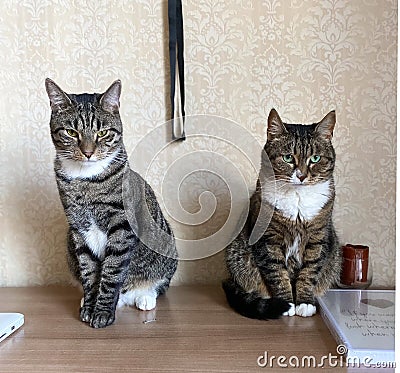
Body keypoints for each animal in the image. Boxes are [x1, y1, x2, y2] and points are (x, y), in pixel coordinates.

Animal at [45, 77, 177, 326]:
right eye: (71, 132)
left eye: (103, 133)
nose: (88, 152)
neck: (85, 180)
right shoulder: (78, 228)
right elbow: (89, 272)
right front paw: (89, 306)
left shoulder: (122, 226)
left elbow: (112, 271)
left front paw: (103, 312)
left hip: (166, 246)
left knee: (158, 282)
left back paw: (144, 296)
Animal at [223, 109, 340, 318]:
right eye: (287, 158)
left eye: (315, 159)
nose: (301, 175)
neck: (297, 198)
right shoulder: (268, 238)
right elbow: (277, 273)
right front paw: (286, 303)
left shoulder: (318, 238)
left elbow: (309, 272)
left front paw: (304, 302)